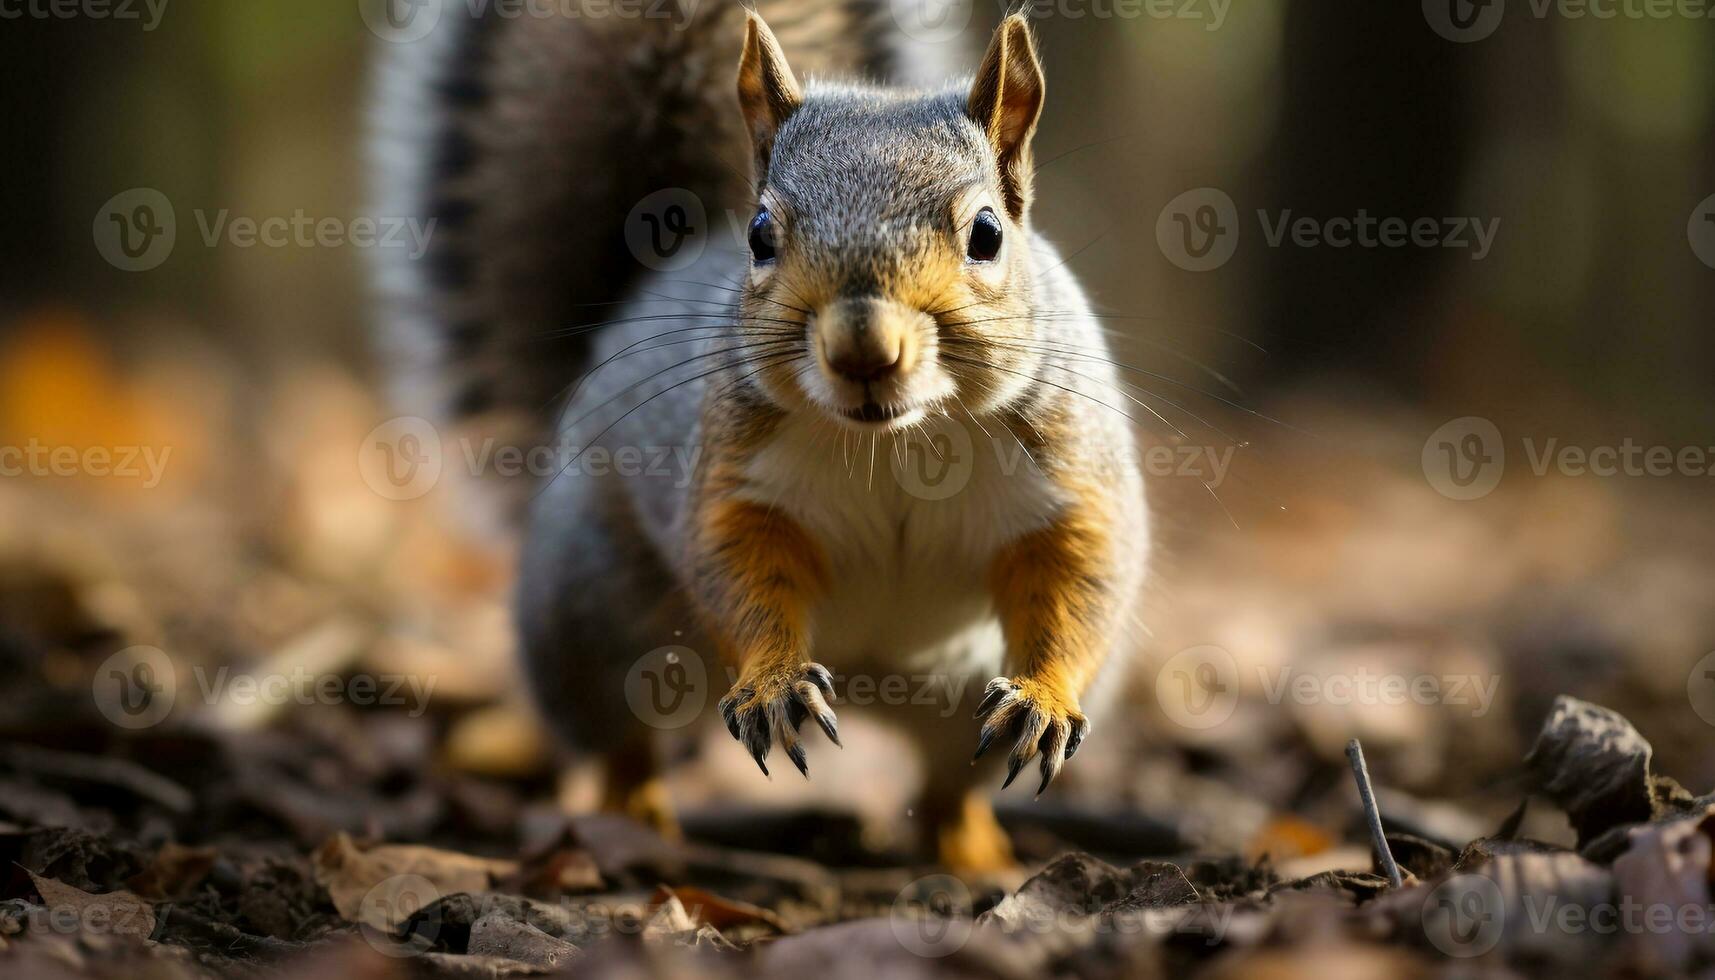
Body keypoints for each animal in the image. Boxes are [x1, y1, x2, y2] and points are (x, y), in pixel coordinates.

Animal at [375, 0, 1152, 875]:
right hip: (589, 616)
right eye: (759, 235)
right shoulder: (733, 476)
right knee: (620, 744)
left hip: (956, 705)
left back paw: (976, 853)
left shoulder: (1069, 474)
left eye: (986, 232)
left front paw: (1043, 698)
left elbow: (1079, 575)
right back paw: (636, 818)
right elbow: (738, 569)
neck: (894, 443)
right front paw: (775, 684)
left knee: (951, 786)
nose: (862, 348)